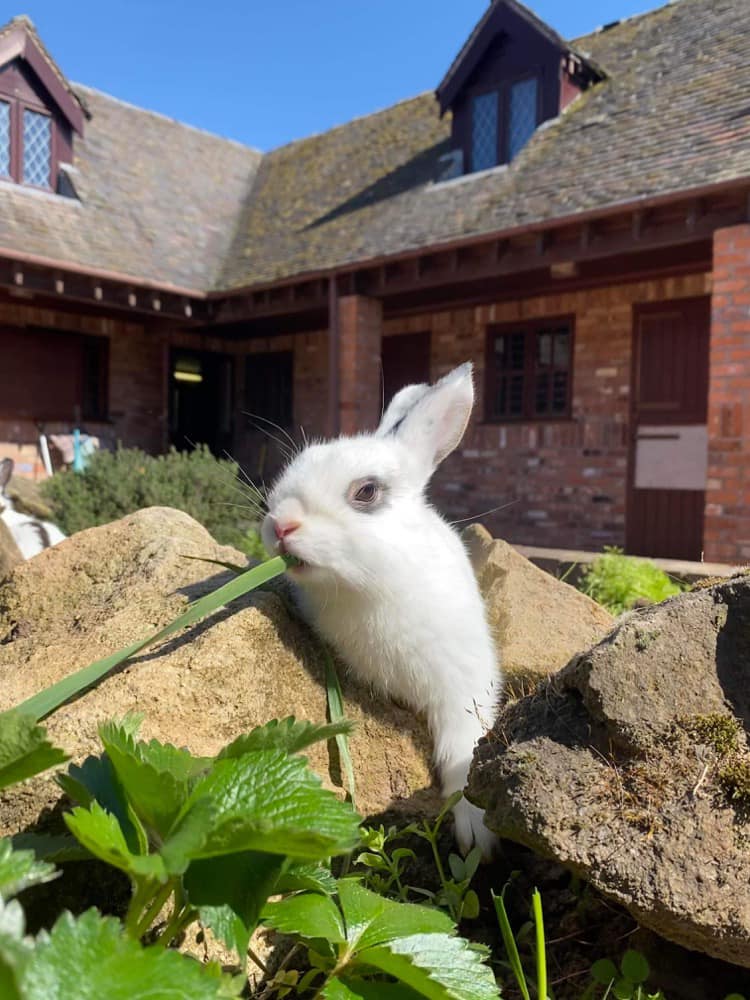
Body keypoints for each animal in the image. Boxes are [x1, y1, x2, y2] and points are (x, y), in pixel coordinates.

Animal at [261, 362, 501, 857]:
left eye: (367, 492)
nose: (281, 525)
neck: (368, 590)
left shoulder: (463, 687)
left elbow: (462, 748)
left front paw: (475, 836)